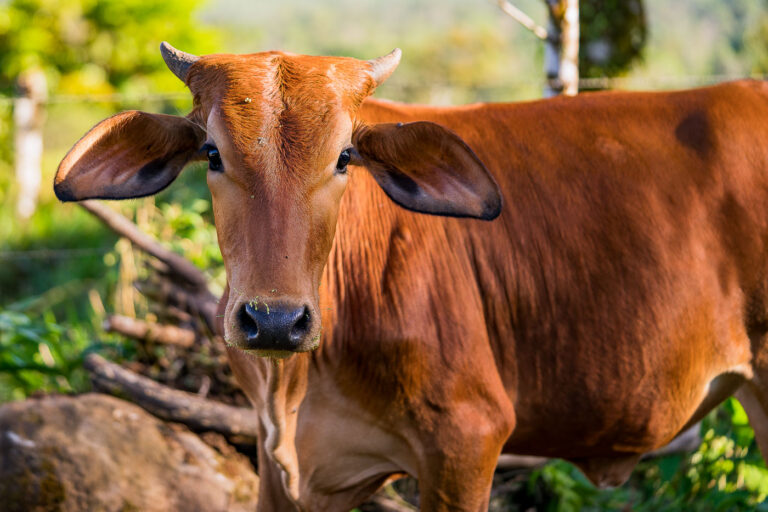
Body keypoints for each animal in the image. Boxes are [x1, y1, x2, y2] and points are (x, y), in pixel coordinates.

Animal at [54, 43, 768, 511]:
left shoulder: (466, 443)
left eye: (345, 157)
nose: (274, 321)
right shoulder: (282, 463)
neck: (298, 383)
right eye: (210, 152)